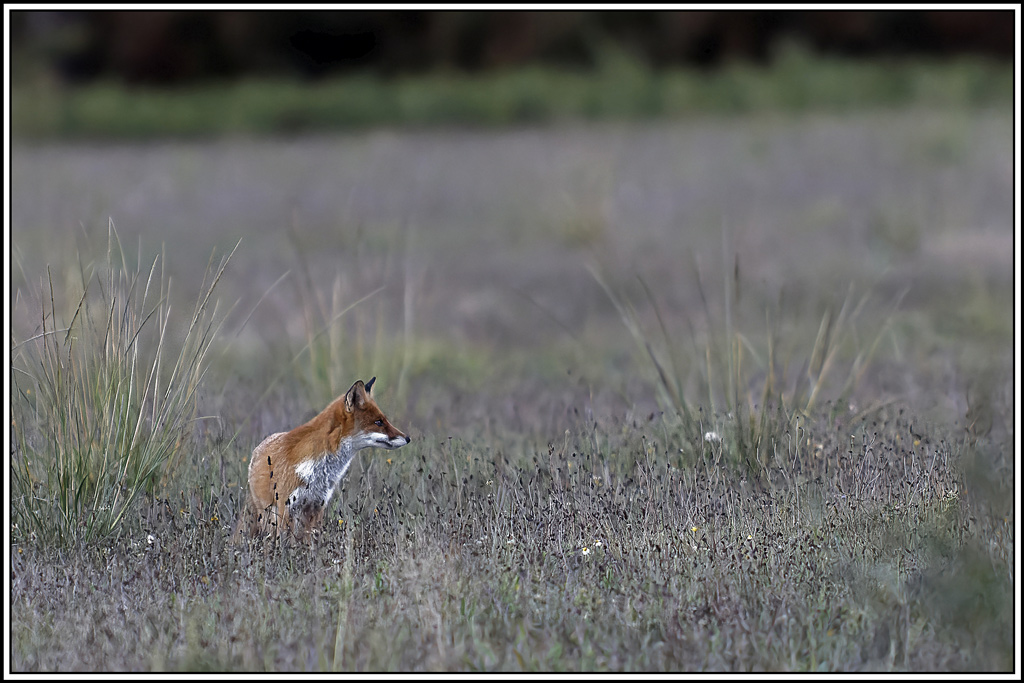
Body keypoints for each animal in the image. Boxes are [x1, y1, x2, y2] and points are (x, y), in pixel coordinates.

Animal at [232, 377, 410, 544]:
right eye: (378, 422)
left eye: (384, 419)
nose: (408, 438)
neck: (319, 470)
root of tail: (257, 450)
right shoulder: (286, 507)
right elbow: (286, 543)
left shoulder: (317, 506)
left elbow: (312, 543)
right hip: (269, 517)